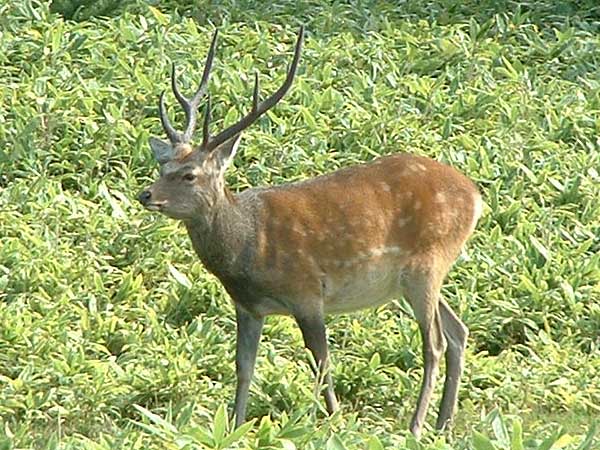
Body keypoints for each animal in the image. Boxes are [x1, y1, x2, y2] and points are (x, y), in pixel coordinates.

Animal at [137, 26, 482, 438]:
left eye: (189, 175)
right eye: (163, 166)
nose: (146, 194)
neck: (247, 249)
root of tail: (475, 195)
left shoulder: (307, 292)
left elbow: (321, 359)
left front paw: (332, 422)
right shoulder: (247, 306)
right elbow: (243, 366)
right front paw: (235, 426)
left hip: (427, 263)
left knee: (435, 342)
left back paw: (415, 427)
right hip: (417, 276)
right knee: (458, 330)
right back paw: (443, 424)